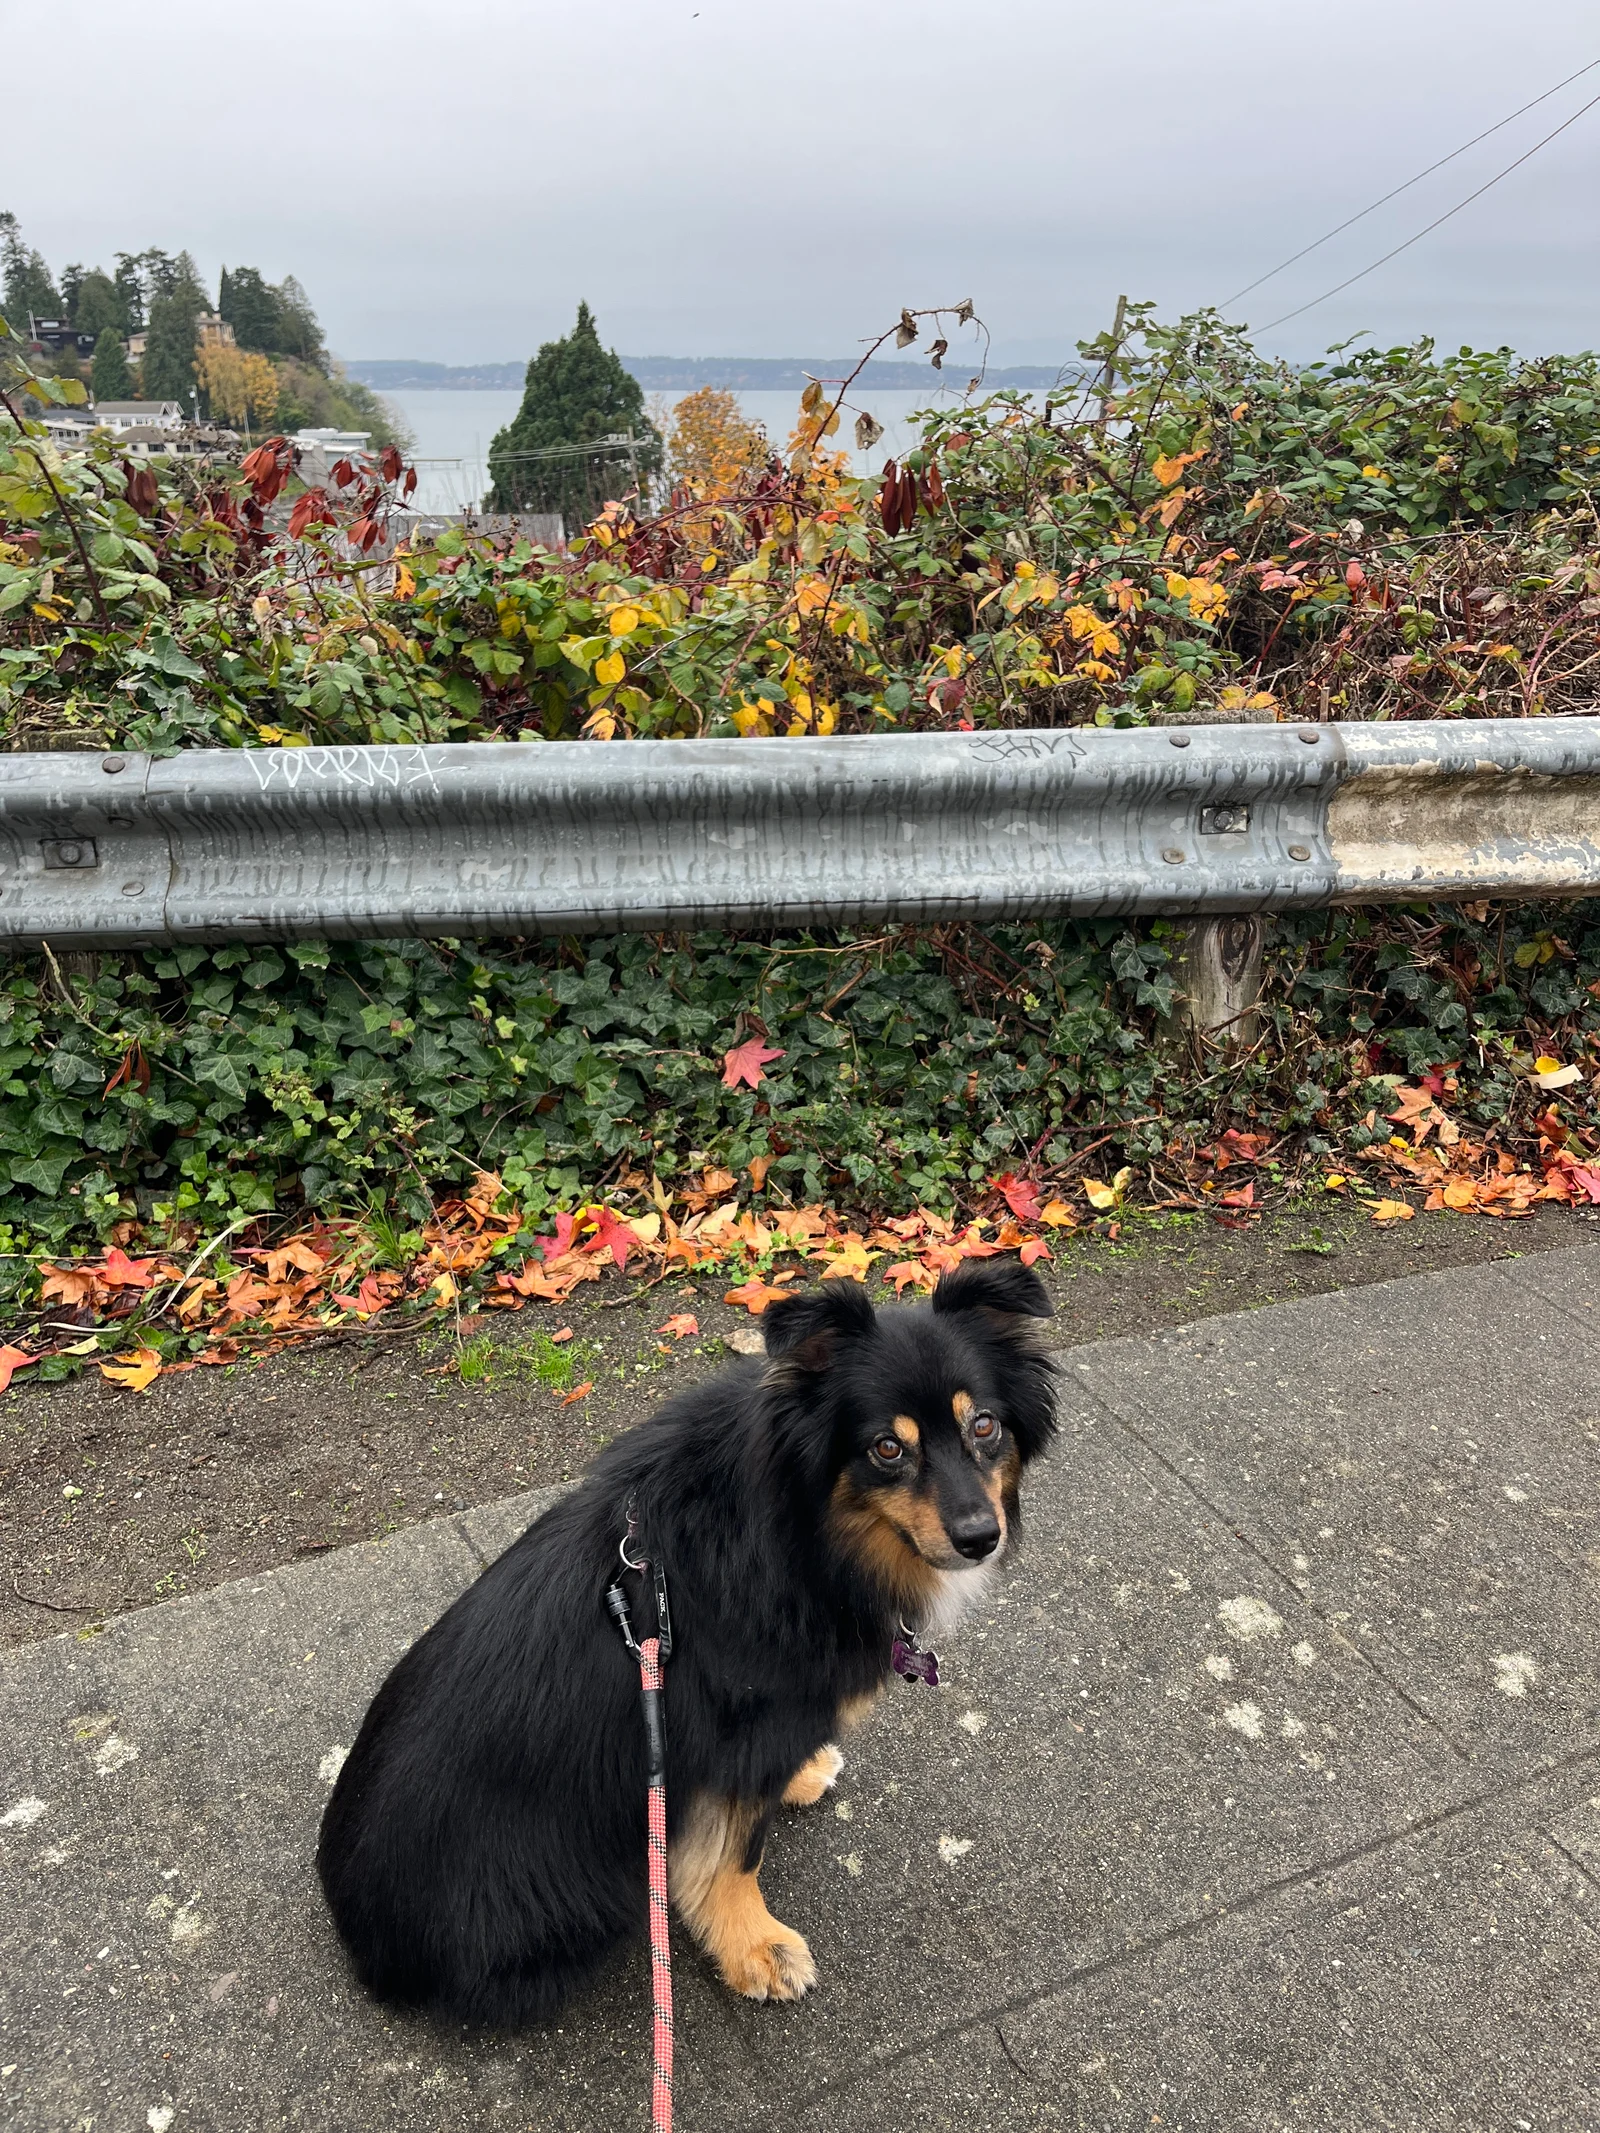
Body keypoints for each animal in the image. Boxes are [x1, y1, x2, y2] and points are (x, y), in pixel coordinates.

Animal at [317, 1257, 1056, 2025]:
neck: (805, 1535)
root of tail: (358, 1938)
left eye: (984, 1424)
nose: (981, 1537)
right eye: (887, 1448)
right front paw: (755, 1946)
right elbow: (733, 1854)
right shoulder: (736, 1733)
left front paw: (799, 1776)